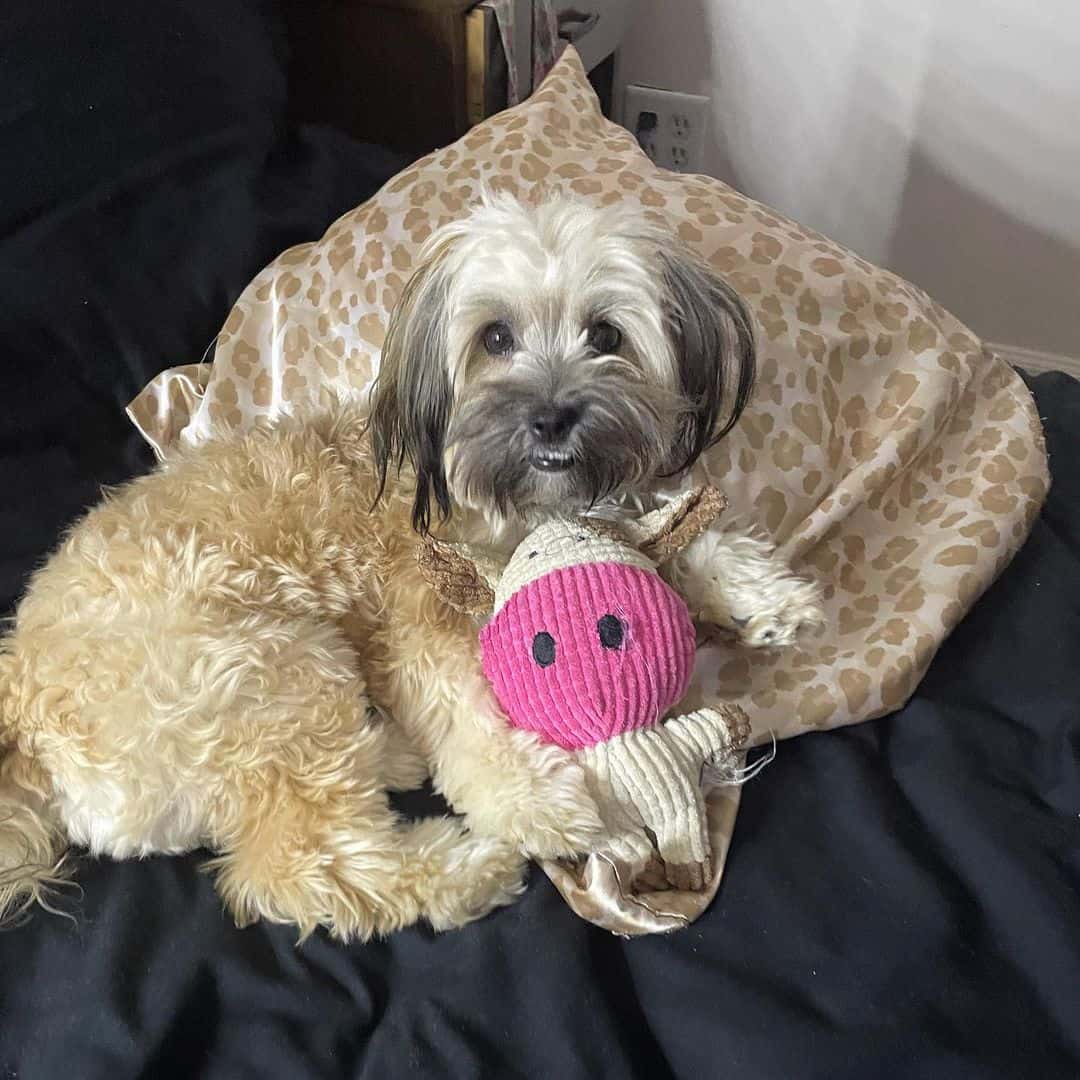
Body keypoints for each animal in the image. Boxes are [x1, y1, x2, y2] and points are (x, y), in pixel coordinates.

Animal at [0, 192, 816, 937]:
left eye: (607, 334)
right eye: (495, 337)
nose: (552, 417)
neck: (517, 505)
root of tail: (20, 702)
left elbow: (677, 535)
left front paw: (760, 593)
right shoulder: (422, 613)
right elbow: (470, 714)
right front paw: (545, 803)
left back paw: (392, 752)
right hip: (267, 672)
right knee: (313, 864)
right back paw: (468, 867)